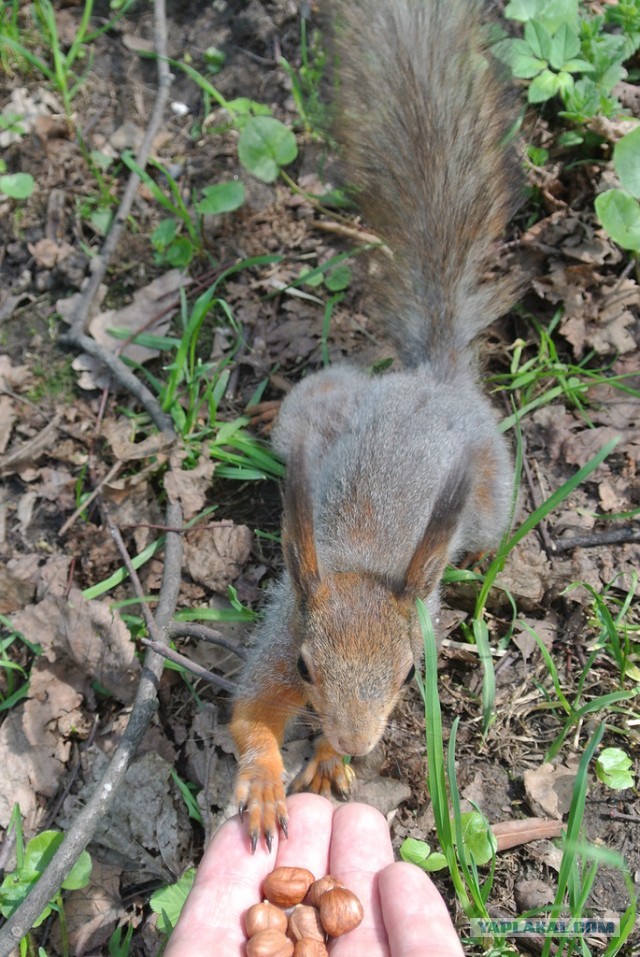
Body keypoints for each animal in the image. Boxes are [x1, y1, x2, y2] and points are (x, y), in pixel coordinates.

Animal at [229, 0, 520, 852]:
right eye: (305, 667)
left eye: (408, 675)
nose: (359, 741)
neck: (355, 568)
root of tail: (431, 380)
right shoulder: (275, 635)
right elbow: (248, 719)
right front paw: (268, 777)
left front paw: (328, 757)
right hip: (315, 412)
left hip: (490, 502)